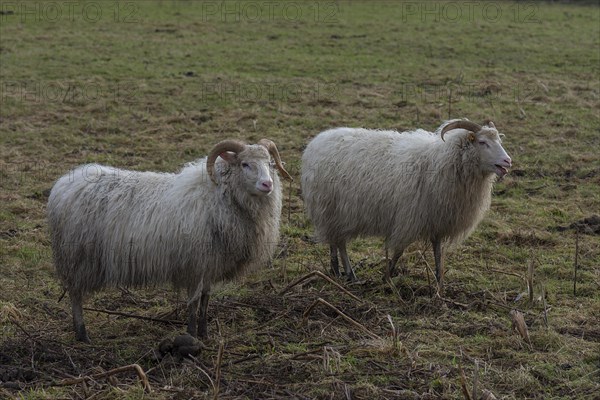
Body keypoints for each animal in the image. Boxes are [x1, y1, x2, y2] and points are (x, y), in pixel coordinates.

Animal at [302, 119, 512, 290]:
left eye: (499, 142)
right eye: (482, 142)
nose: (507, 161)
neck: (443, 162)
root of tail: (317, 141)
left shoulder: (438, 219)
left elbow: (438, 252)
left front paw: (439, 283)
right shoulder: (409, 218)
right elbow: (399, 250)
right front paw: (387, 276)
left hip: (337, 213)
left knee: (337, 241)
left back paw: (340, 272)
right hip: (330, 209)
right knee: (338, 243)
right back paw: (344, 272)